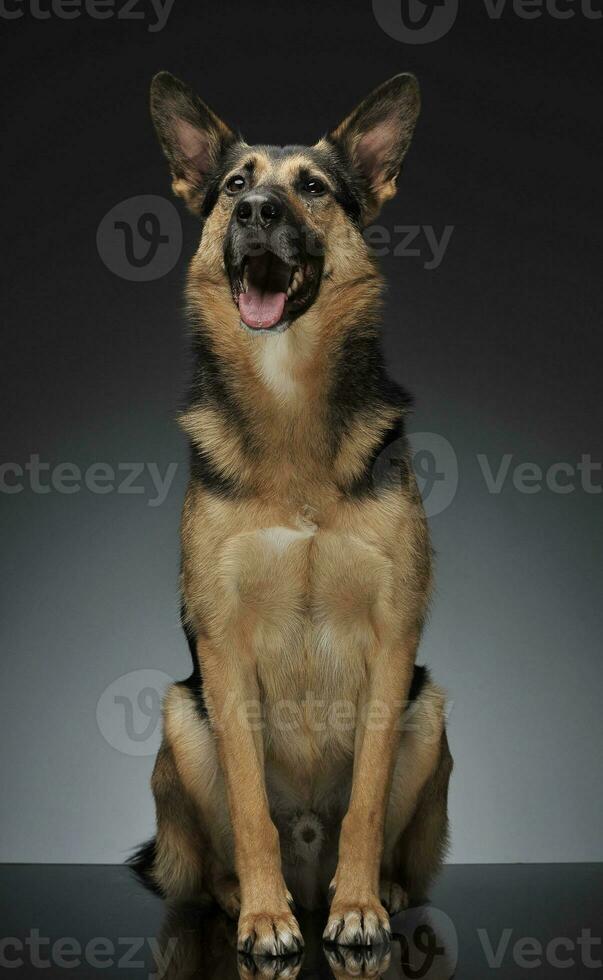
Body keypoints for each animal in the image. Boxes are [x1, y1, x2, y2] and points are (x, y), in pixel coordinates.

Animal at [132, 71, 452, 956]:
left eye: (311, 188)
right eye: (233, 185)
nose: (255, 212)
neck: (288, 400)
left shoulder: (392, 638)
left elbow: (366, 801)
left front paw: (359, 909)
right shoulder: (222, 645)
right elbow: (249, 808)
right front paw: (265, 917)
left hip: (428, 710)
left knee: (386, 845)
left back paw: (369, 889)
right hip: (181, 716)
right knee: (218, 857)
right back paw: (252, 896)